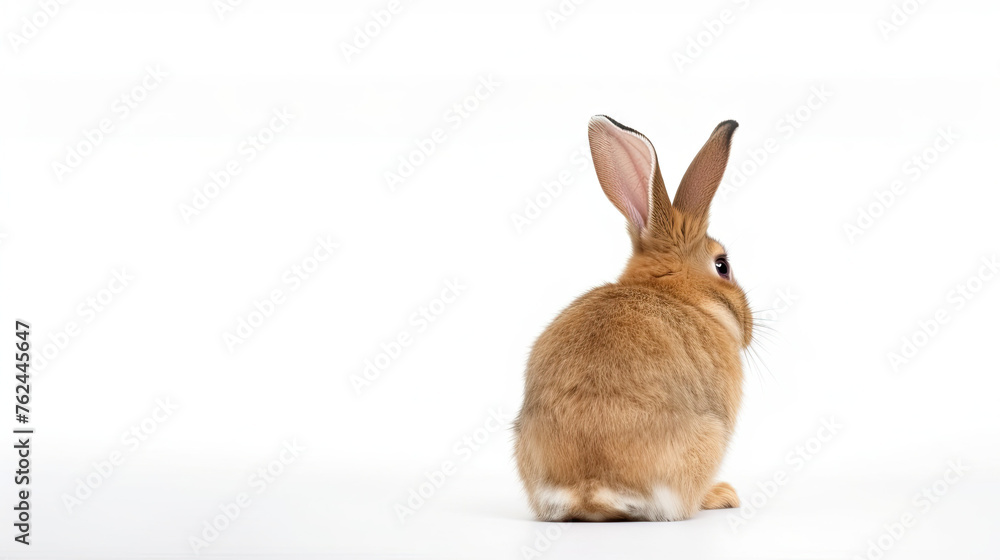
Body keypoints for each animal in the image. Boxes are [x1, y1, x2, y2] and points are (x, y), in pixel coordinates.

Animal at [513, 115, 752, 522]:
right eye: (722, 266)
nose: (749, 328)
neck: (676, 293)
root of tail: (594, 489)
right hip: (708, 439)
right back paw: (720, 495)